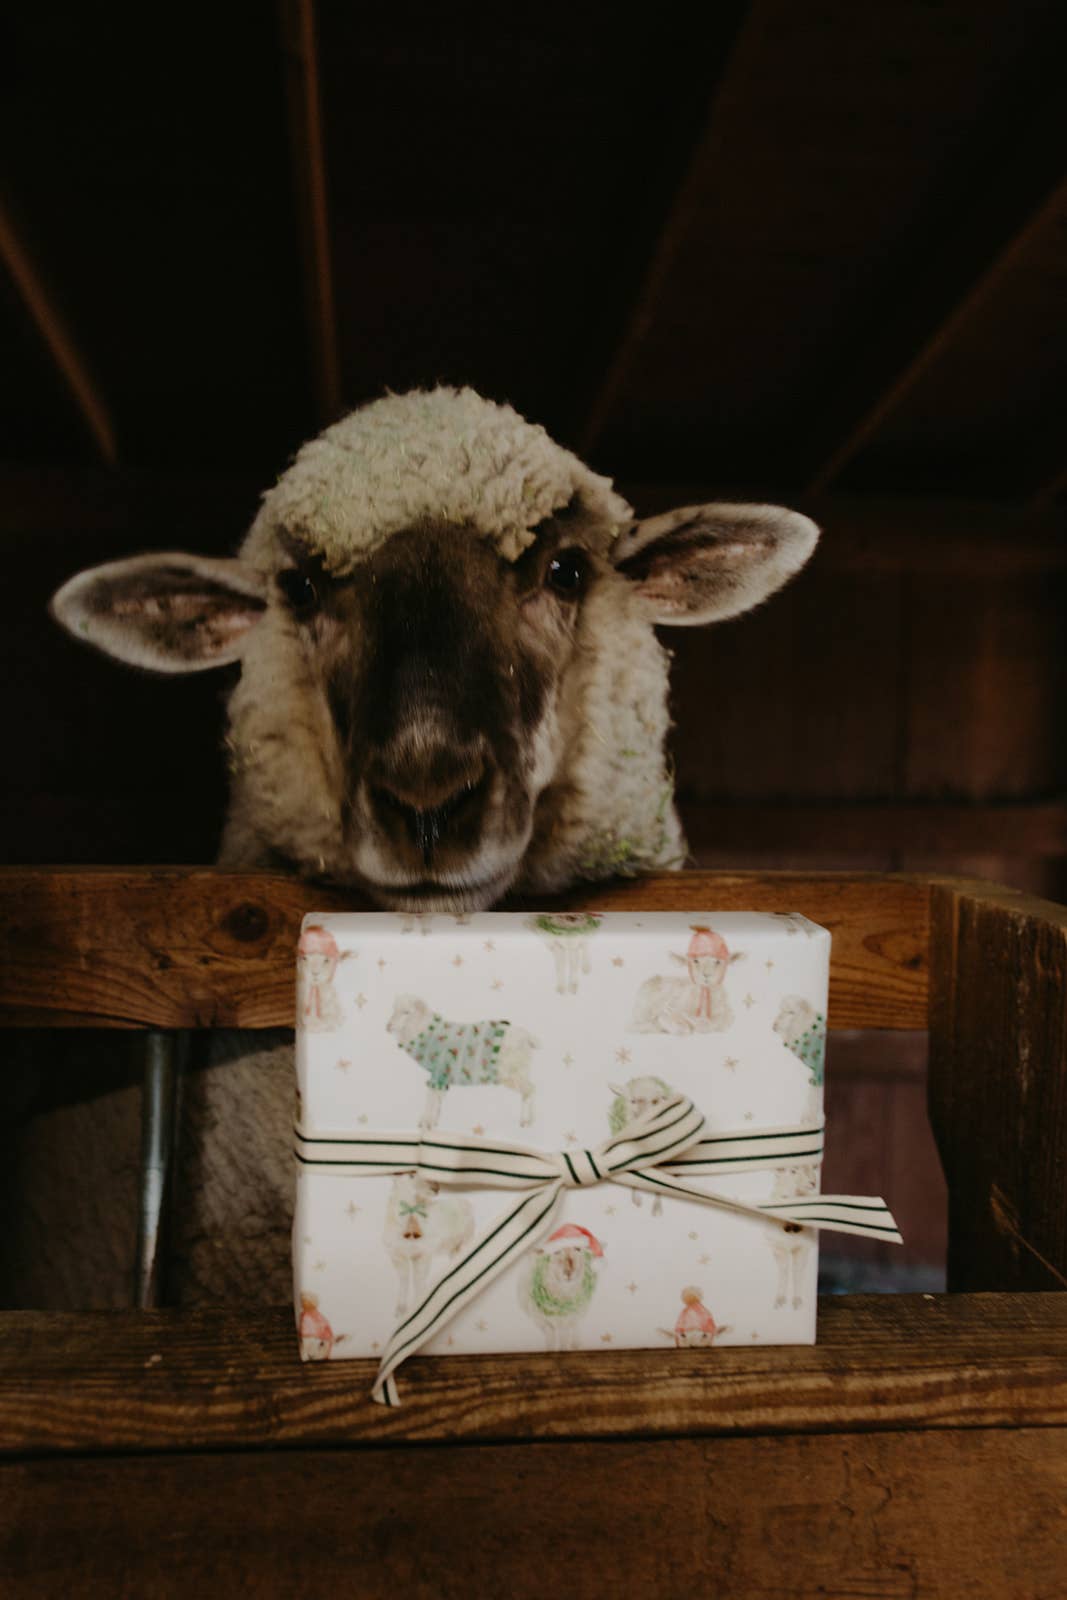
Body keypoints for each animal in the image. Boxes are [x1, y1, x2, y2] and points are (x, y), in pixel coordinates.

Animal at [383, 1171, 475, 1318]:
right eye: (411, 1174)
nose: (436, 1187)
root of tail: (466, 1203)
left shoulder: (424, 1253)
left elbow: (418, 1280)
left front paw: (418, 1306)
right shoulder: (397, 1255)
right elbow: (404, 1281)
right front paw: (400, 1311)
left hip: (466, 1240)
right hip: (453, 1247)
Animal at [386, 994, 539, 1129]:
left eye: (406, 1012)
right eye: (393, 1009)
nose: (388, 1026)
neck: (423, 1031)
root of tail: (529, 1038)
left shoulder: (438, 1072)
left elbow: (431, 1097)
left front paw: (425, 1124)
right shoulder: (442, 1076)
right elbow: (438, 1098)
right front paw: (433, 1123)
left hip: (512, 1071)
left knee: (530, 1090)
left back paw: (527, 1122)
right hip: (520, 1071)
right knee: (530, 1090)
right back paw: (529, 1121)